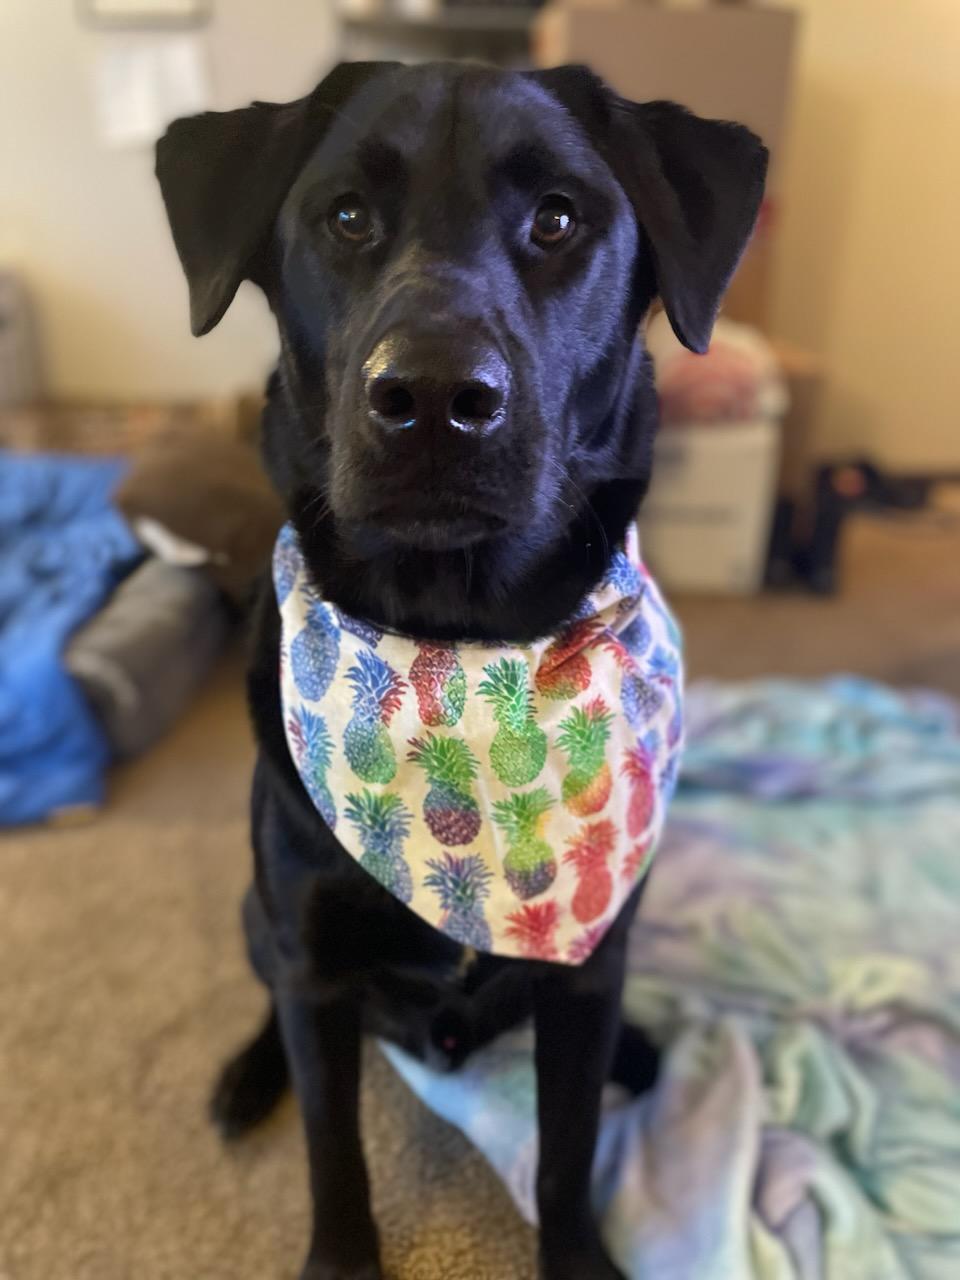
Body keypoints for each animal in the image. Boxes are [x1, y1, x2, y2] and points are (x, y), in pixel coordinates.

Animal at [156, 60, 768, 1280]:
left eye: (559, 219)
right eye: (346, 215)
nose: (434, 397)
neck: (460, 664)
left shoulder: (584, 971)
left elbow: (568, 1154)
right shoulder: (313, 959)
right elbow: (333, 1148)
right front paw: (341, 1256)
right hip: (261, 919)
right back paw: (247, 1075)